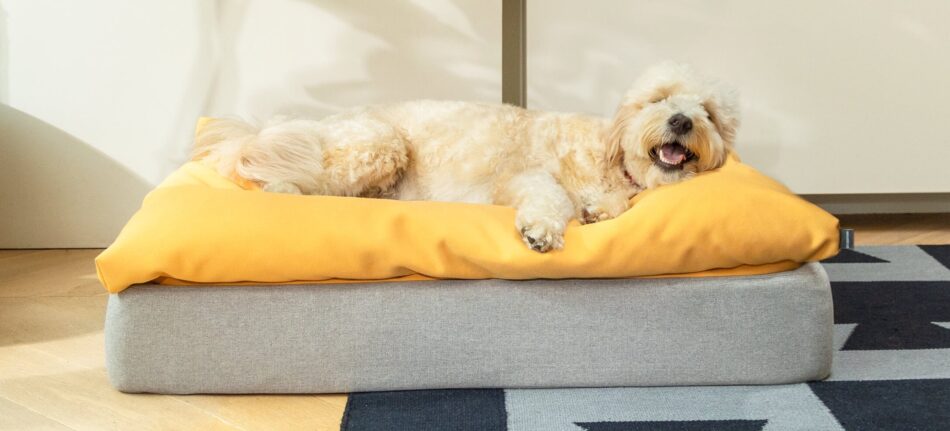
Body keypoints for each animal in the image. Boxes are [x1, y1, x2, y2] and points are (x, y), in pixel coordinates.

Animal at [195, 63, 744, 253]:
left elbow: (604, 208)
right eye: (658, 99)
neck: (615, 162)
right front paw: (542, 231)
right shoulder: (525, 177)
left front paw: (596, 211)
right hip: (378, 144)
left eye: (710, 114)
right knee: (299, 184)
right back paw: (288, 188)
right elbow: (550, 199)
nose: (682, 121)